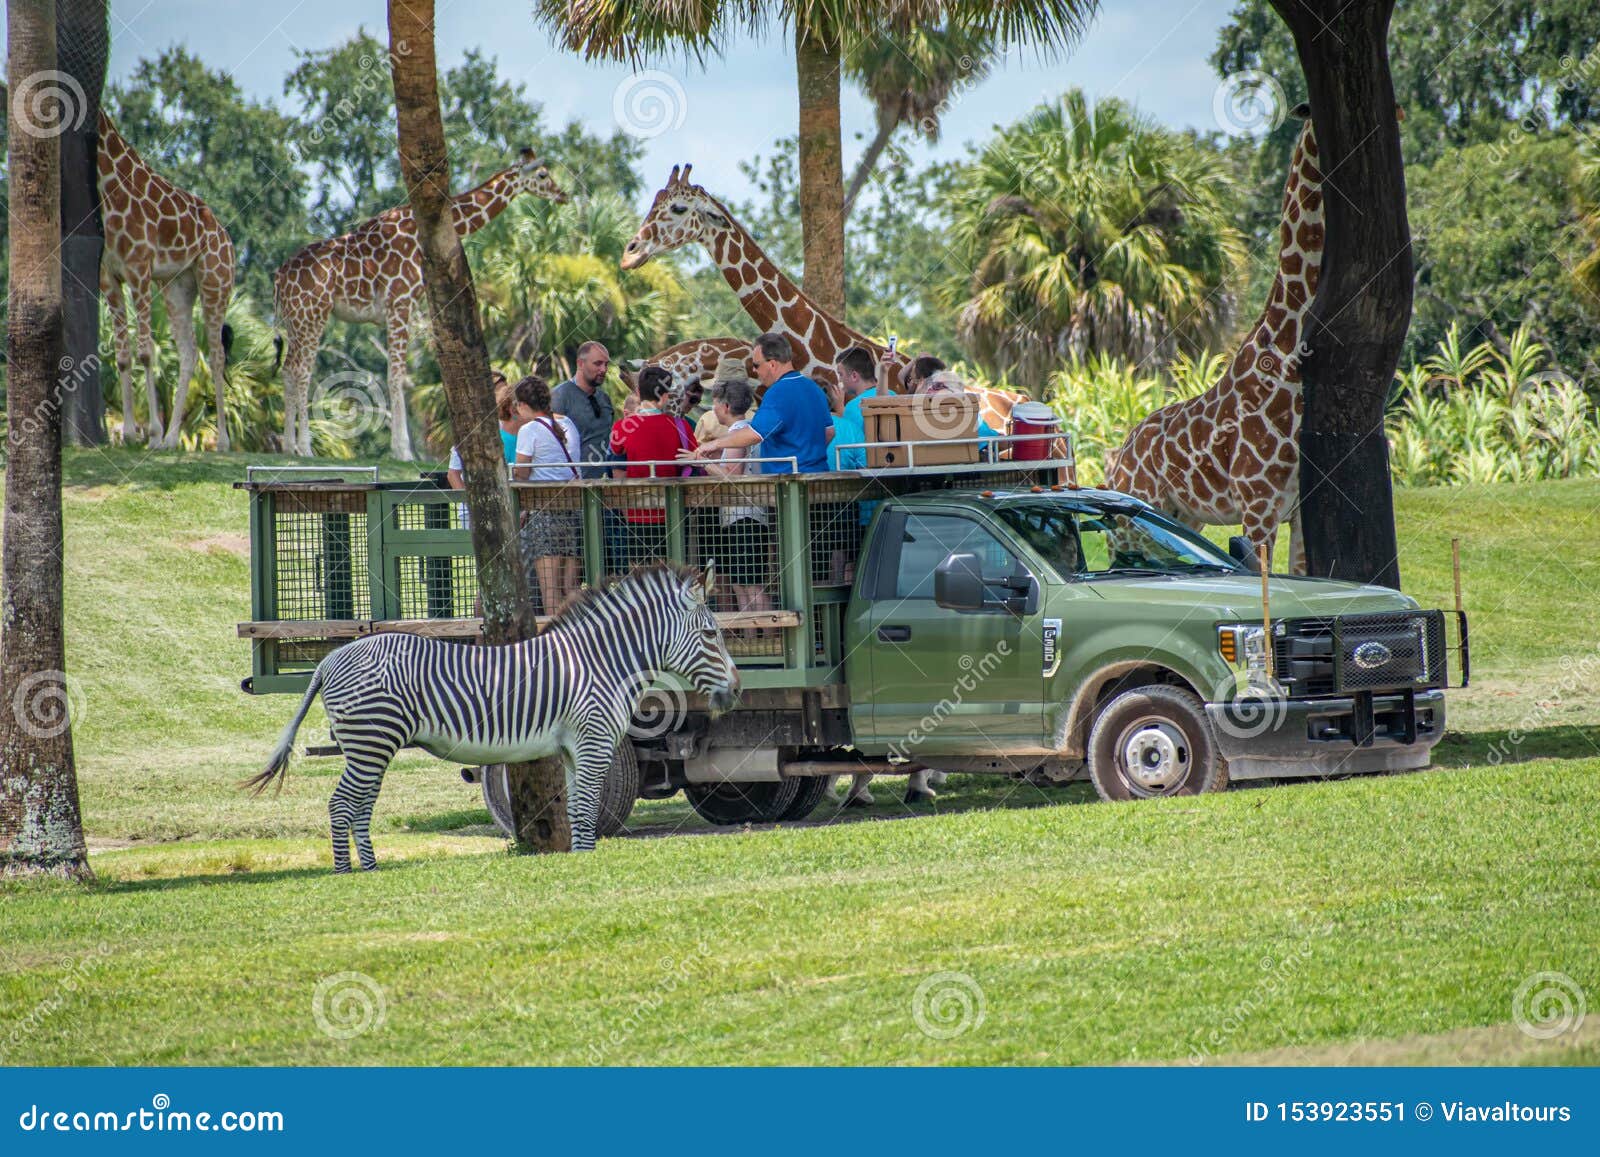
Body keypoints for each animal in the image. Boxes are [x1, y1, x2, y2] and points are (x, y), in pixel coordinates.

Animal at [96, 112, 233, 448]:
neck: (109, 189)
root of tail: (227, 238)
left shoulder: (139, 270)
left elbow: (146, 352)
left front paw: (152, 434)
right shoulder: (109, 277)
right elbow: (122, 356)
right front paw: (130, 434)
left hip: (216, 282)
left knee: (216, 354)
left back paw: (222, 441)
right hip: (177, 288)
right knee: (189, 351)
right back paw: (172, 439)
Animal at [244, 566, 742, 870]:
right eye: (711, 634)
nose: (737, 690)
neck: (601, 662)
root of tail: (329, 661)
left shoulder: (573, 748)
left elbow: (576, 809)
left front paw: (578, 859)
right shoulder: (595, 741)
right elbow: (585, 807)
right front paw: (585, 863)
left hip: (371, 745)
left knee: (360, 805)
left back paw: (369, 867)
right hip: (371, 741)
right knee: (342, 805)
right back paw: (348, 873)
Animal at [275, 151, 569, 460]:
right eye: (542, 175)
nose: (562, 194)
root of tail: (280, 276)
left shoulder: (408, 308)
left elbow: (401, 375)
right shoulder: (399, 303)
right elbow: (395, 376)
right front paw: (403, 451)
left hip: (295, 320)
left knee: (288, 369)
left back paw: (289, 446)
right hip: (314, 315)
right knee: (302, 371)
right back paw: (305, 448)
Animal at [1100, 108, 1324, 576]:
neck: (1287, 361)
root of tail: (1122, 450)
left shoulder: (1299, 508)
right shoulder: (1258, 503)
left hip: (1184, 517)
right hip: (1135, 513)